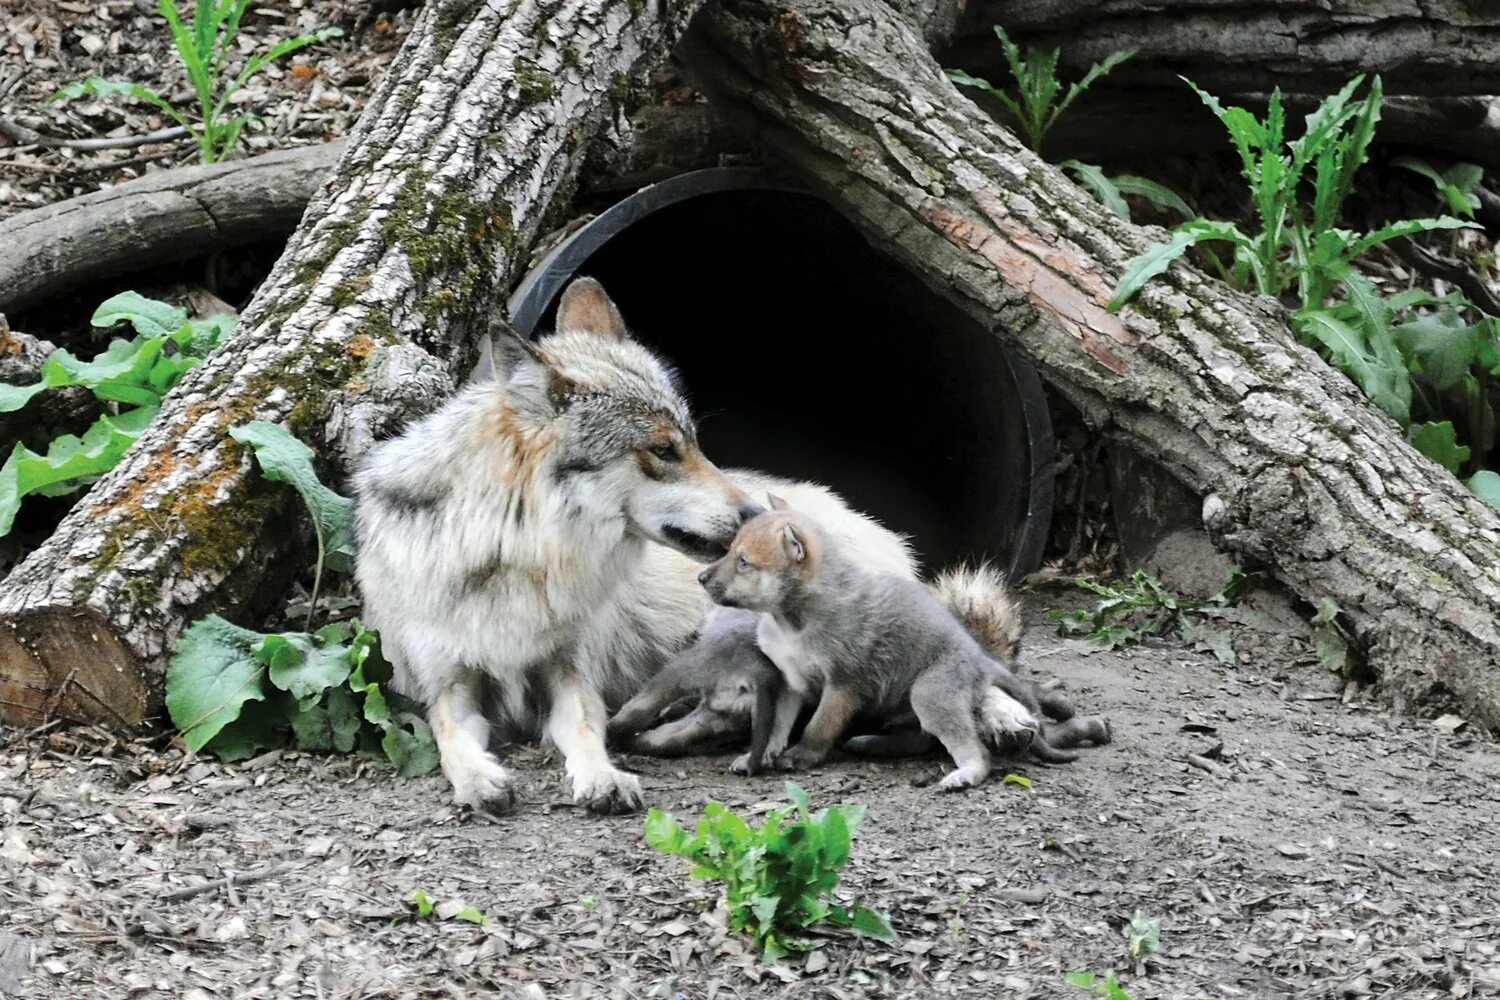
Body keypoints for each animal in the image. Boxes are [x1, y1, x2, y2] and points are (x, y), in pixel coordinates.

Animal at [354, 277, 762, 815]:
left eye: (694, 443)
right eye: (663, 450)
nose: (756, 514)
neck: (514, 555)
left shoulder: (572, 673)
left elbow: (587, 730)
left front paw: (604, 778)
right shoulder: (448, 685)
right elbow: (449, 738)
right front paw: (478, 780)